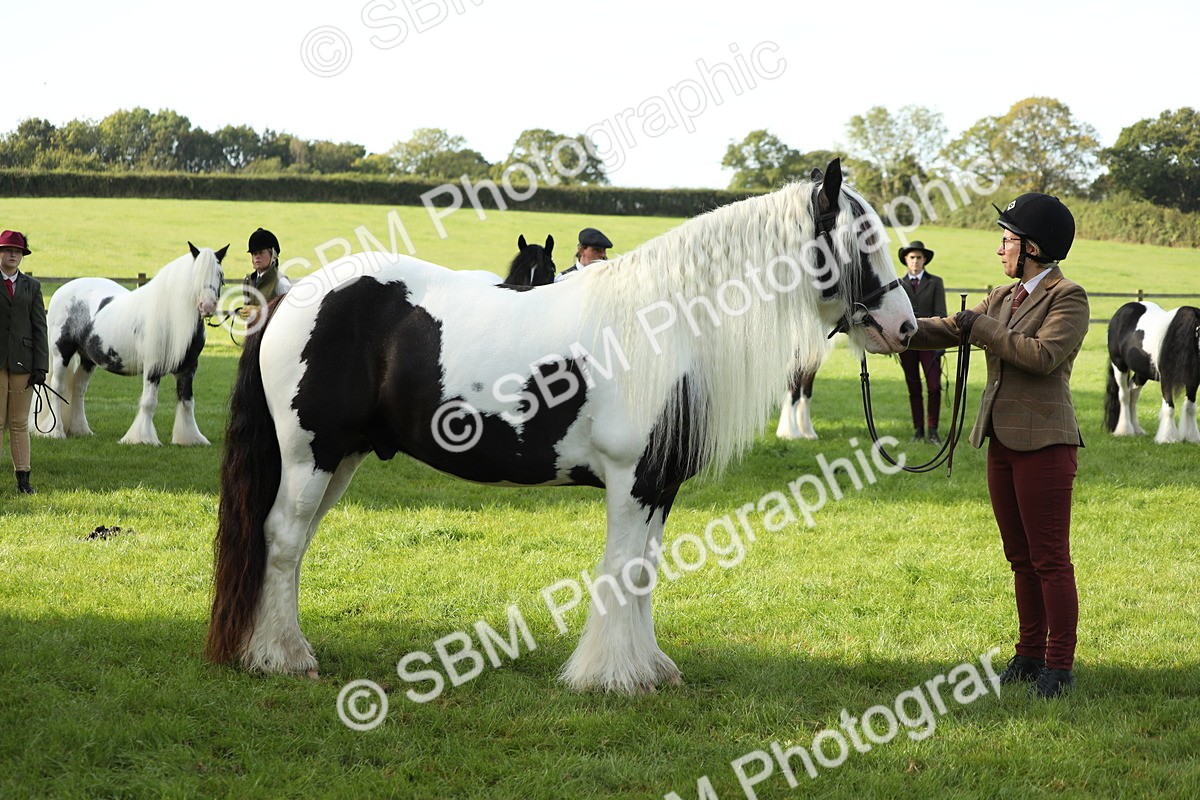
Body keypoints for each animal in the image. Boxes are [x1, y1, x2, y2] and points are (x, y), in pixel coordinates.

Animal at [37, 243, 227, 446]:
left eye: (220, 274)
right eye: (195, 274)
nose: (207, 306)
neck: (173, 317)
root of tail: (61, 291)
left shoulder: (188, 368)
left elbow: (187, 402)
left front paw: (190, 439)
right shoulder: (153, 367)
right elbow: (149, 402)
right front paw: (143, 438)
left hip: (88, 359)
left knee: (79, 389)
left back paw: (81, 431)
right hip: (61, 354)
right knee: (58, 388)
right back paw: (56, 432)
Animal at [205, 159, 916, 693]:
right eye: (864, 239)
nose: (905, 327)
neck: (667, 324)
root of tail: (293, 298)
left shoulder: (659, 485)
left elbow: (645, 571)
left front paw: (648, 669)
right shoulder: (632, 481)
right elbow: (624, 571)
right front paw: (611, 677)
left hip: (341, 459)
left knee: (290, 544)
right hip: (311, 456)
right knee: (283, 537)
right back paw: (283, 658)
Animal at [1105, 300, 1200, 443]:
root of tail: (1122, 310)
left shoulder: (1193, 381)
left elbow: (1190, 408)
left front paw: (1192, 437)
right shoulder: (1166, 380)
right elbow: (1169, 408)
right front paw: (1167, 438)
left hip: (1141, 373)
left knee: (1133, 393)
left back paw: (1137, 429)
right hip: (1119, 365)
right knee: (1124, 395)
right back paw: (1125, 430)